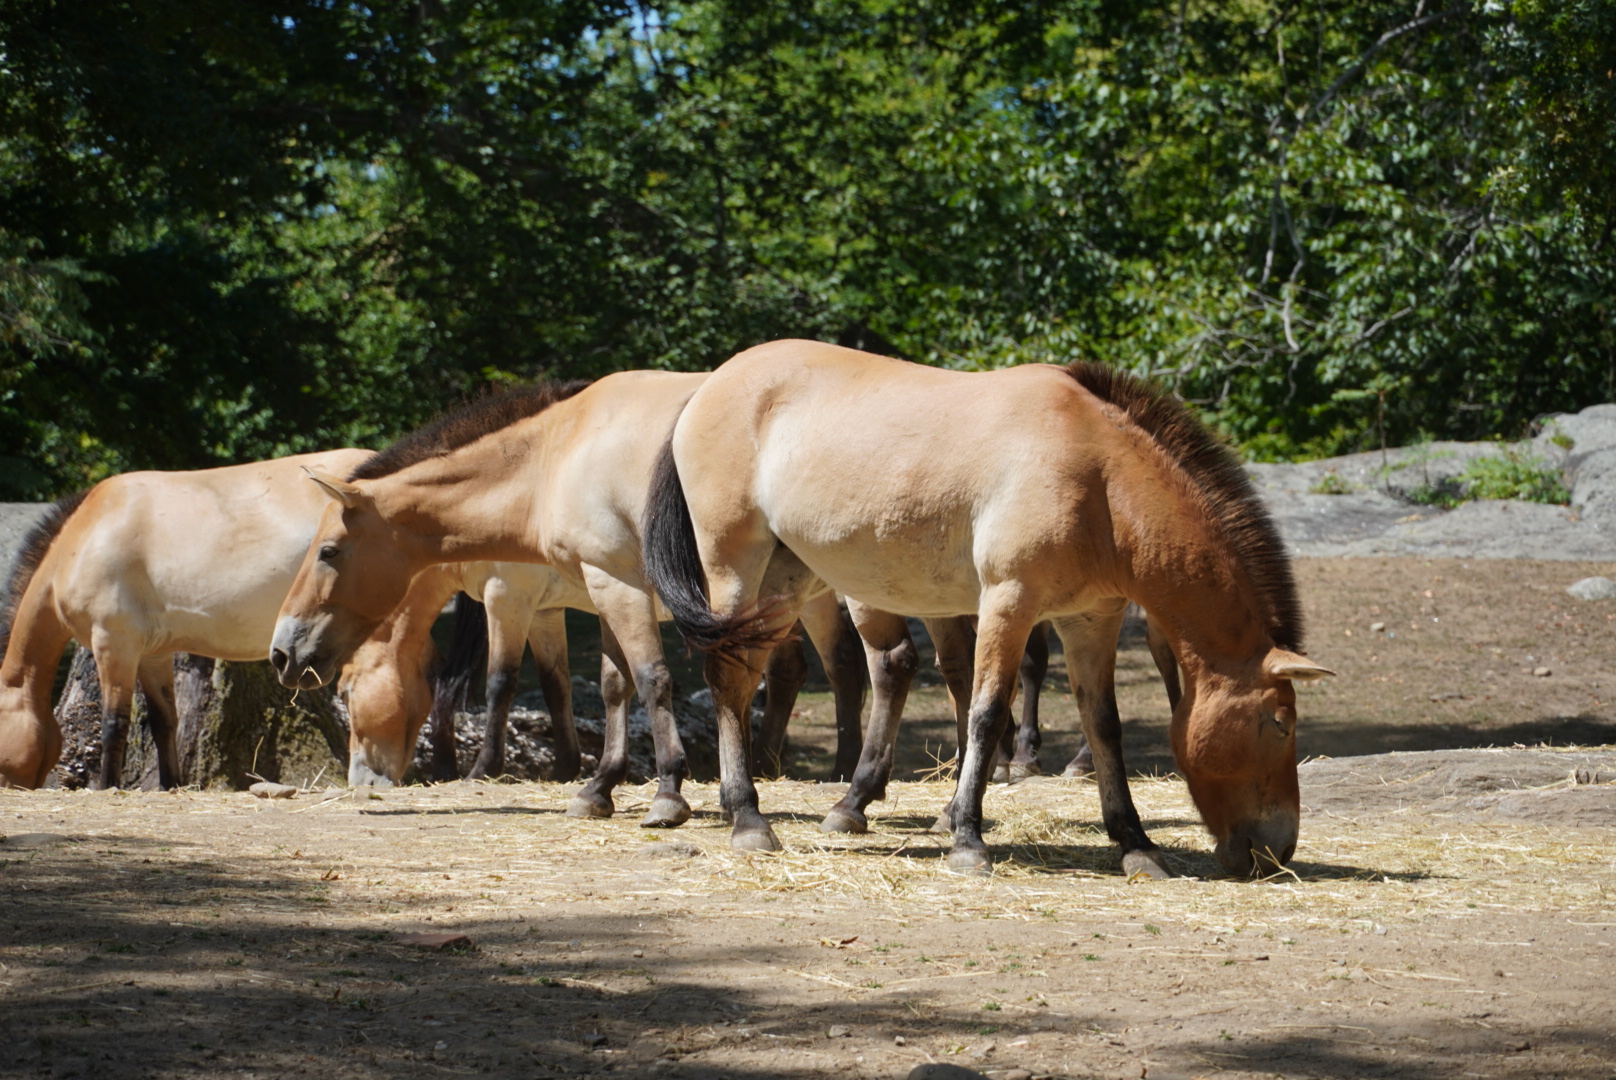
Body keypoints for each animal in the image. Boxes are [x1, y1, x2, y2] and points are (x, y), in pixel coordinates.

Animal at [0, 449, 374, 790]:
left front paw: (108, 786)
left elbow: (113, 724)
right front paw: (171, 784)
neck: (89, 533)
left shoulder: (112, 643)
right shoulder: (153, 655)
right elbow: (164, 721)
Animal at [268, 370, 870, 827]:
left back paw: (843, 776)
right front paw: (592, 782)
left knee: (844, 666)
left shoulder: (546, 595)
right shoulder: (592, 592)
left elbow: (635, 679)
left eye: (328, 551)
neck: (559, 453)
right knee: (793, 669)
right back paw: (775, 766)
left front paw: (666, 792)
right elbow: (602, 687)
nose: (281, 652)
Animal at [641, 340, 1332, 877]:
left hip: (787, 582)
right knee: (728, 676)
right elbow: (985, 712)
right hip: (734, 566)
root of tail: (709, 386)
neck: (1099, 479)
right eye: (1281, 723)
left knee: (757, 674)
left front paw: (1135, 843)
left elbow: (1102, 725)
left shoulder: (1092, 621)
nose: (1279, 850)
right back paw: (748, 817)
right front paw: (968, 839)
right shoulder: (1009, 602)